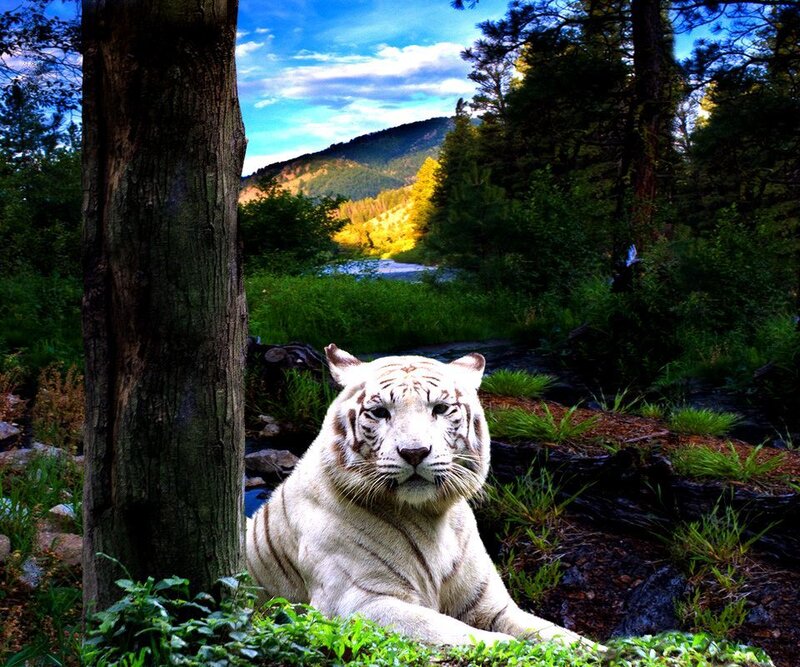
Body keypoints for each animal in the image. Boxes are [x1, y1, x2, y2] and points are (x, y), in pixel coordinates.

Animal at [246, 343, 598, 648]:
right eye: (379, 412)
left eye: (440, 409)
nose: (414, 452)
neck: (430, 516)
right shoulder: (356, 603)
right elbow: (447, 629)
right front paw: (506, 645)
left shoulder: (489, 603)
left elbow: (554, 633)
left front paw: (596, 650)